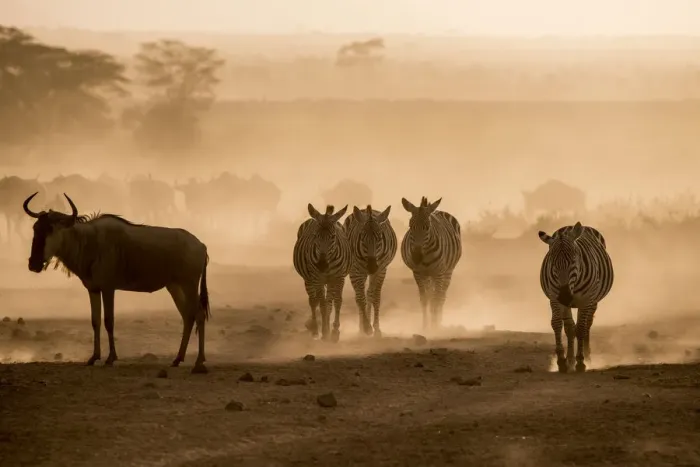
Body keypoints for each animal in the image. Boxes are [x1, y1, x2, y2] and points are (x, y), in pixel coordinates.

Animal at [293, 204, 352, 342]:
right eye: (315, 236)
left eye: (333, 236)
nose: (322, 265)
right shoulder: (317, 278)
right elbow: (323, 305)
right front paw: (325, 332)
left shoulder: (339, 278)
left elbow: (336, 302)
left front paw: (334, 331)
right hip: (308, 279)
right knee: (313, 301)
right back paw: (315, 329)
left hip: (329, 281)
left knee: (327, 301)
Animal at [344, 205, 398, 338]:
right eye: (362, 237)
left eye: (380, 238)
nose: (371, 267)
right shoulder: (356, 270)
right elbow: (360, 298)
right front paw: (367, 327)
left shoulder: (381, 270)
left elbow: (375, 297)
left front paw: (377, 328)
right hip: (357, 272)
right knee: (359, 296)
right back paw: (362, 327)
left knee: (369, 294)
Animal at [401, 196, 462, 331]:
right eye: (410, 226)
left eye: (427, 227)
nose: (416, 257)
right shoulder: (418, 273)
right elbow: (425, 300)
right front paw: (425, 326)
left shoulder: (439, 273)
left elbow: (436, 299)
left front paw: (434, 328)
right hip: (429, 275)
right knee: (432, 295)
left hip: (447, 271)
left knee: (441, 296)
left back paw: (438, 322)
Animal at [538, 221, 614, 373]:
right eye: (552, 262)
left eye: (574, 260)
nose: (565, 296)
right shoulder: (554, 298)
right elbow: (558, 324)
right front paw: (562, 361)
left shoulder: (586, 300)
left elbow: (581, 328)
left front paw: (580, 362)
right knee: (569, 328)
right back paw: (570, 360)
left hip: (593, 300)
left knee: (587, 325)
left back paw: (586, 357)